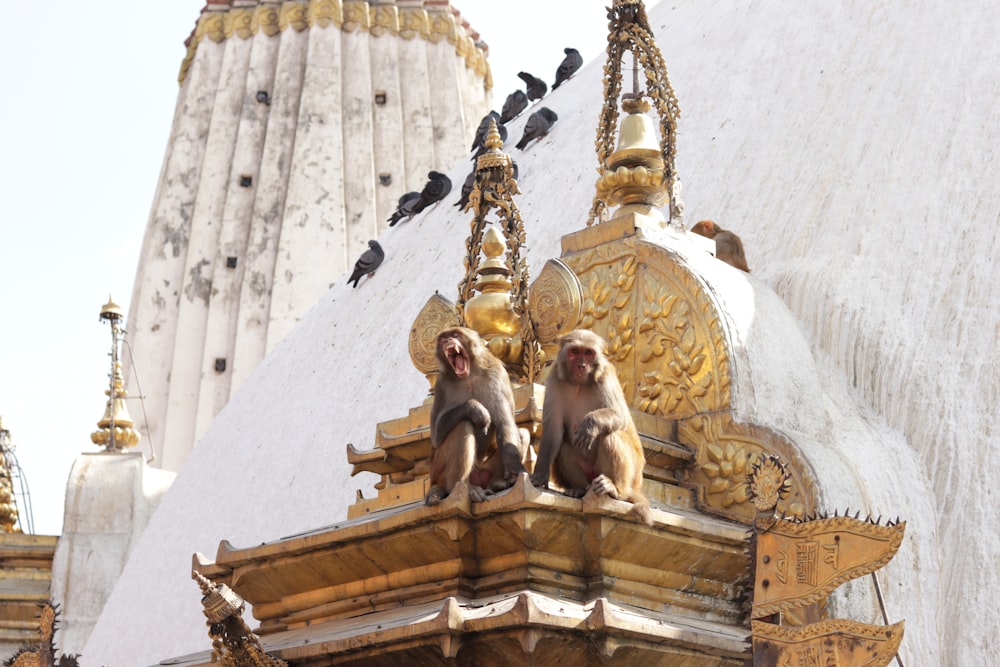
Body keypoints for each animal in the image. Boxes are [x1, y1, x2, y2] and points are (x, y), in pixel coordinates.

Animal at [426, 328, 532, 506]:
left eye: (455, 335)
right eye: (443, 338)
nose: (447, 340)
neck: (469, 375)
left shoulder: (497, 374)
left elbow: (505, 422)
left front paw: (516, 469)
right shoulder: (442, 385)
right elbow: (436, 436)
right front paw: (476, 409)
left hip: (485, 470)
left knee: (522, 432)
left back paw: (497, 483)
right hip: (438, 470)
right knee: (462, 426)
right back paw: (461, 489)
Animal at [532, 328, 656, 528]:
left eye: (588, 353)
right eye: (575, 352)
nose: (581, 365)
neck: (579, 384)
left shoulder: (605, 375)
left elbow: (620, 414)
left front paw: (590, 424)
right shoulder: (555, 379)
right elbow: (553, 431)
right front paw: (539, 475)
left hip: (633, 476)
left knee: (610, 435)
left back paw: (615, 489)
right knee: (565, 445)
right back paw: (578, 489)